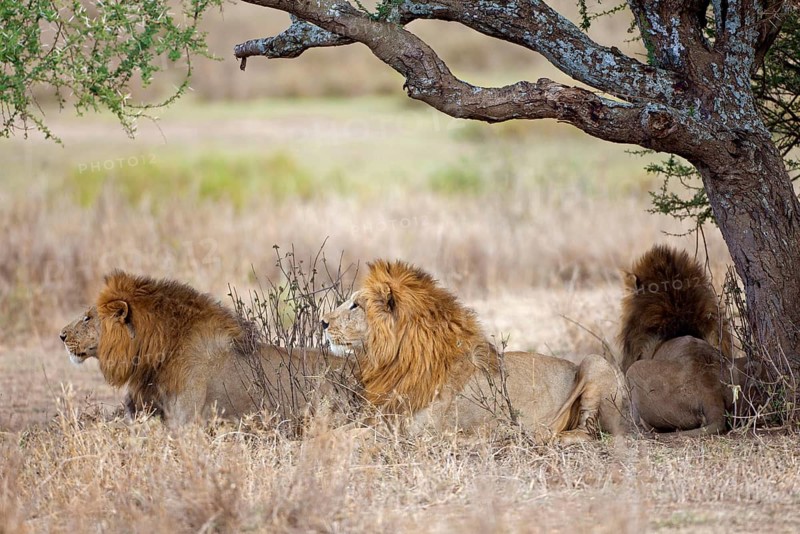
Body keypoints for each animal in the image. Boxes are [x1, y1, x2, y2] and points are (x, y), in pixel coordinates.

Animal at [320, 260, 629, 443]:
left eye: (355, 305)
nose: (322, 322)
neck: (395, 361)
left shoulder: (416, 432)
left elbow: (350, 437)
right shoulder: (383, 416)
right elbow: (337, 431)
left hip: (595, 362)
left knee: (589, 432)